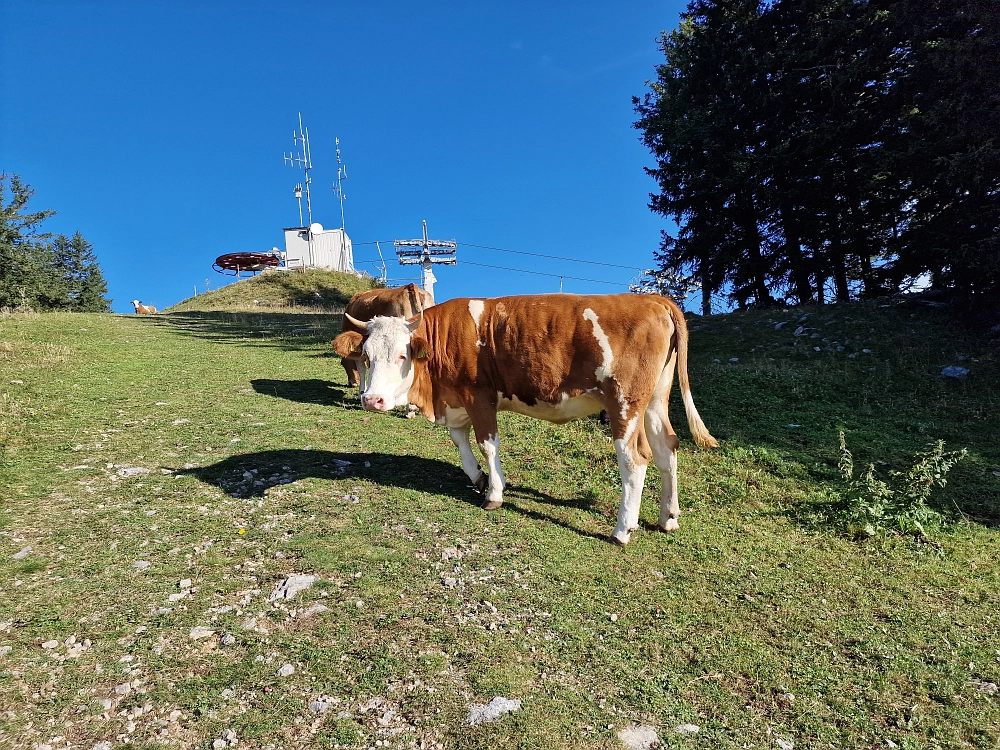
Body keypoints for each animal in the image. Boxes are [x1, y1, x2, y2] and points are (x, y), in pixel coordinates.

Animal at [336, 294, 720, 548]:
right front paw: (478, 478)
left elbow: (487, 444)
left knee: (635, 458)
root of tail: (654, 299)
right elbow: (461, 444)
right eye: (366, 356)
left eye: (402, 355)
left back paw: (622, 529)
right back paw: (668, 517)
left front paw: (494, 492)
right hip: (655, 400)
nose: (372, 400)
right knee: (667, 448)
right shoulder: (457, 402)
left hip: (625, 402)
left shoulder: (480, 396)